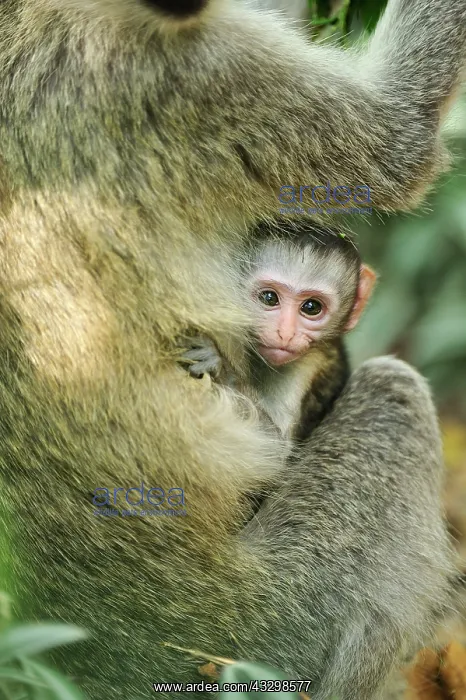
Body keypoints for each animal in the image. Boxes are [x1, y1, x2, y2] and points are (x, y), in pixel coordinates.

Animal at [182, 224, 377, 443]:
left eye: (311, 307)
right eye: (269, 298)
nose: (286, 334)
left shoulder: (307, 364)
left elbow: (275, 445)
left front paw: (221, 369)